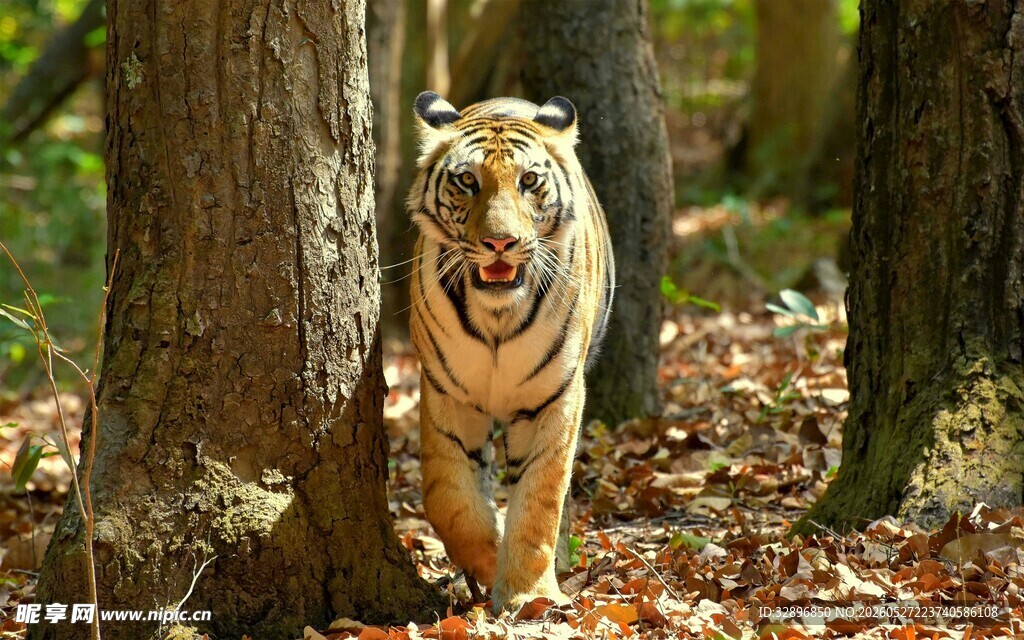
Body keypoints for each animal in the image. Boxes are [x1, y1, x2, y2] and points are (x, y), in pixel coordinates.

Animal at [406, 91, 614, 613]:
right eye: (467, 180)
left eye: (529, 181)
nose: (500, 242)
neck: (497, 317)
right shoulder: (448, 393)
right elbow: (448, 498)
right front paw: (485, 561)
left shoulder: (554, 397)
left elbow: (541, 499)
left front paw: (527, 594)